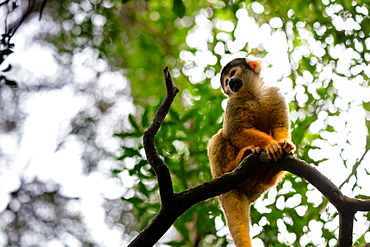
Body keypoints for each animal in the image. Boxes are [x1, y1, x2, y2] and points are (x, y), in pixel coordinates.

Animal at [208, 57, 294, 246]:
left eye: (232, 74)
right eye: (226, 81)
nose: (230, 83)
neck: (252, 94)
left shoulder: (273, 93)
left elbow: (280, 126)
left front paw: (284, 144)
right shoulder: (233, 104)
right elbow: (235, 133)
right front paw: (270, 145)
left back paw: (269, 175)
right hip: (219, 173)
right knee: (220, 136)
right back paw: (235, 164)